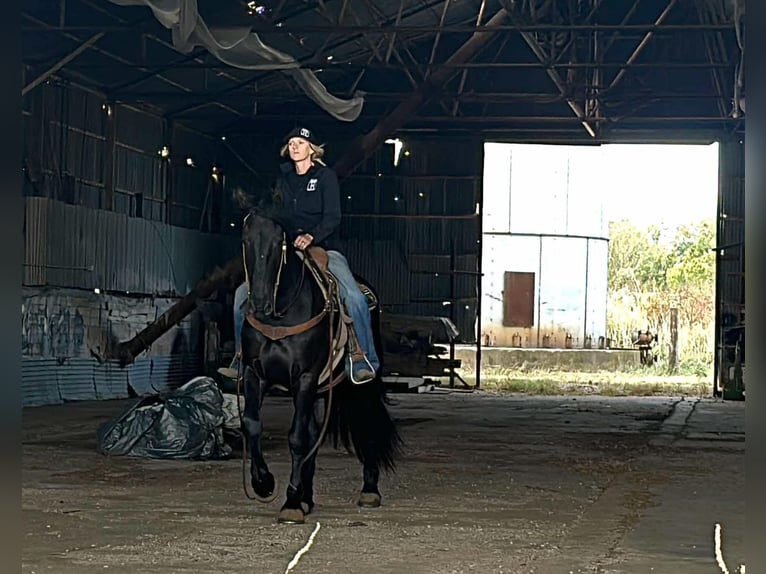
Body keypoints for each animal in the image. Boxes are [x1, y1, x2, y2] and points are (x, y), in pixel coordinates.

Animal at [240, 209, 402, 524]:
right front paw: (264, 483)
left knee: (367, 423)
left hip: (359, 384)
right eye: (245, 240)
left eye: (280, 242)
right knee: (315, 432)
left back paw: (369, 490)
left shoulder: (304, 377)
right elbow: (253, 424)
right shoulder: (256, 374)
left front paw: (290, 503)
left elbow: (297, 438)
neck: (280, 315)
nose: (260, 303)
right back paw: (307, 498)